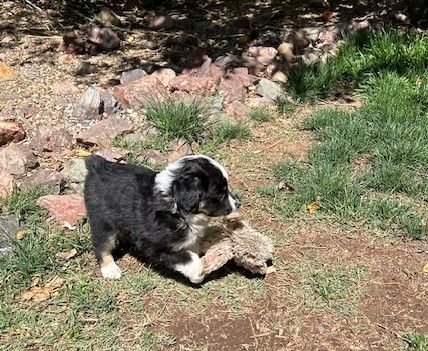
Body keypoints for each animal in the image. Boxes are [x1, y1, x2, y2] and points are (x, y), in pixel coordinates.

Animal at [83, 154, 241, 284]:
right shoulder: (157, 246)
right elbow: (188, 258)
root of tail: (97, 165)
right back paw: (110, 270)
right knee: (101, 245)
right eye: (220, 193)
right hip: (103, 221)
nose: (238, 204)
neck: (177, 209)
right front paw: (199, 273)